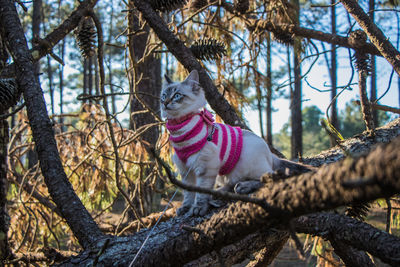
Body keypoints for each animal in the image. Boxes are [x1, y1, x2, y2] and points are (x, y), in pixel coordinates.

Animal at [159, 70, 306, 217]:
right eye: (164, 96)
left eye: (177, 96)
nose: (165, 103)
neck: (181, 132)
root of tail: (271, 155)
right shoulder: (185, 170)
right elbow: (188, 193)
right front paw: (186, 207)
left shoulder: (205, 167)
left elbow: (201, 192)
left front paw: (198, 208)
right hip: (224, 173)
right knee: (232, 183)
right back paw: (219, 193)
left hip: (247, 163)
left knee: (269, 177)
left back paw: (242, 187)